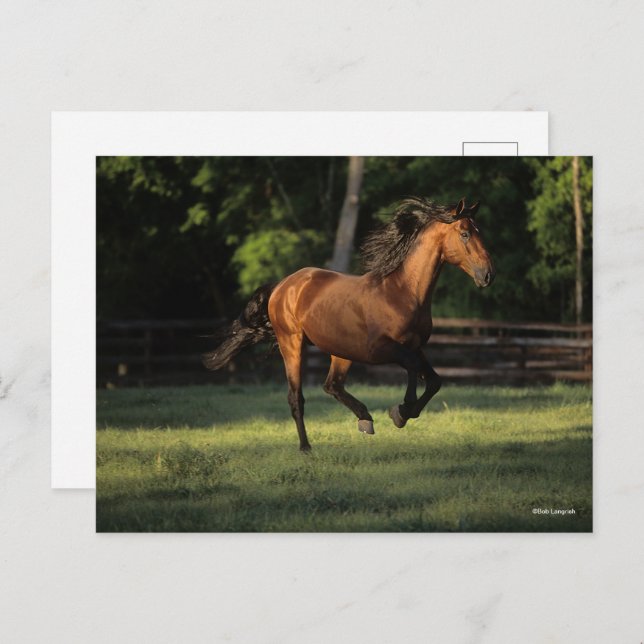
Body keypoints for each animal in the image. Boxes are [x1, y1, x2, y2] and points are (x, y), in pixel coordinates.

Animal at [203, 197, 495, 451]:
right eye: (465, 234)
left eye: (480, 232)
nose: (487, 275)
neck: (403, 292)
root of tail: (283, 285)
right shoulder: (382, 349)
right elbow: (413, 368)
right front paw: (400, 412)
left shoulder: (416, 346)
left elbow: (434, 381)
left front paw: (403, 412)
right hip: (292, 344)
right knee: (296, 397)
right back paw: (306, 447)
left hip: (340, 351)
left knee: (332, 385)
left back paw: (364, 419)